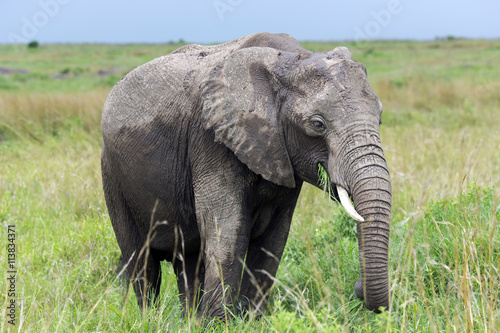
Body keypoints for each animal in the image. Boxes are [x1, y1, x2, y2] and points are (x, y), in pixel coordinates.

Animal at [100, 31, 390, 320]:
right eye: (317, 124)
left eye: (380, 118)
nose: (358, 288)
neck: (290, 59)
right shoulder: (212, 139)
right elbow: (227, 231)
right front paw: (220, 323)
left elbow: (273, 241)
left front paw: (252, 319)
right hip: (112, 173)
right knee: (141, 262)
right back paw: (148, 319)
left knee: (188, 262)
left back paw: (189, 320)